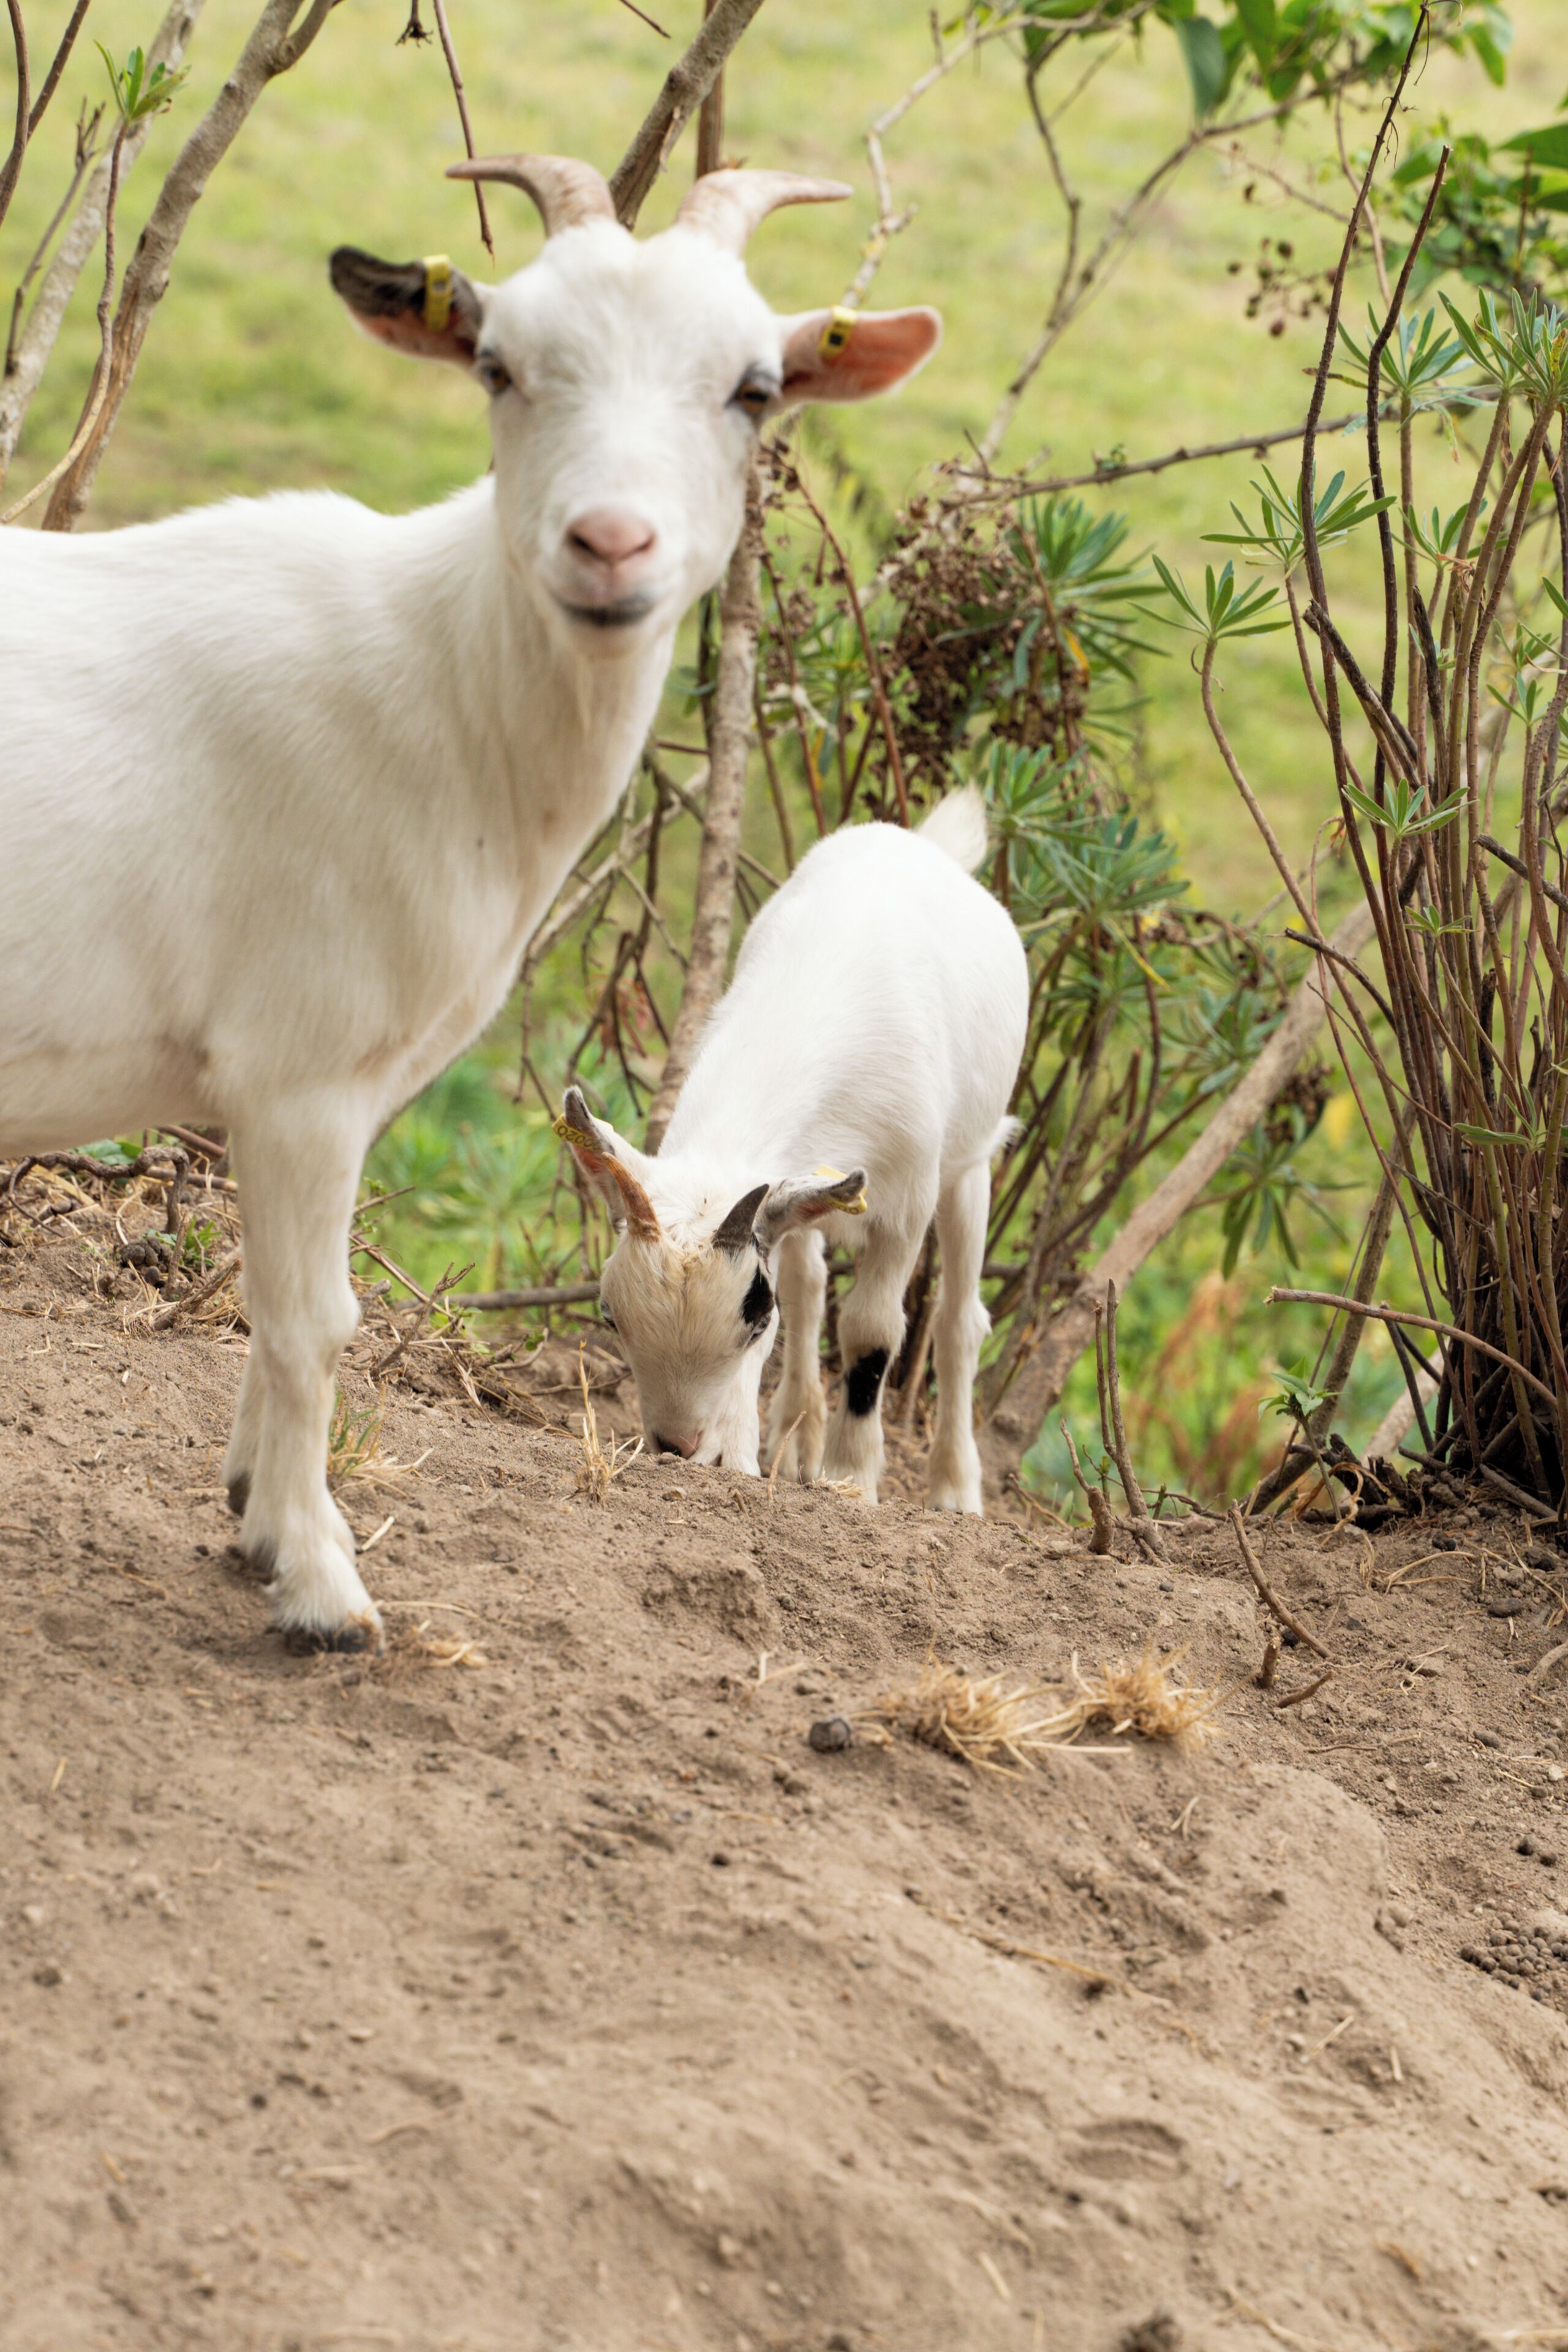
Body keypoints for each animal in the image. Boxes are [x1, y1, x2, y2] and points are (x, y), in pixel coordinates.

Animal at [0, 153, 940, 1646]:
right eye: (497, 364)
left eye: (754, 387)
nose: (610, 545)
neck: (442, 680)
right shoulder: (301, 1069)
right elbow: (314, 1320)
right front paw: (323, 1589)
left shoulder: (336, 1089)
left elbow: (281, 1309)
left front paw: (260, 1520)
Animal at [559, 789, 1027, 1512]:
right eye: (610, 1316)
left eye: (756, 1316)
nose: (679, 1445)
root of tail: (930, 843)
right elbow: (806, 1298)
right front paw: (756, 1454)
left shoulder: (906, 1198)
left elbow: (870, 1331)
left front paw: (851, 1476)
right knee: (810, 1286)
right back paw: (796, 1433)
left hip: (969, 1164)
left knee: (958, 1321)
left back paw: (953, 1488)